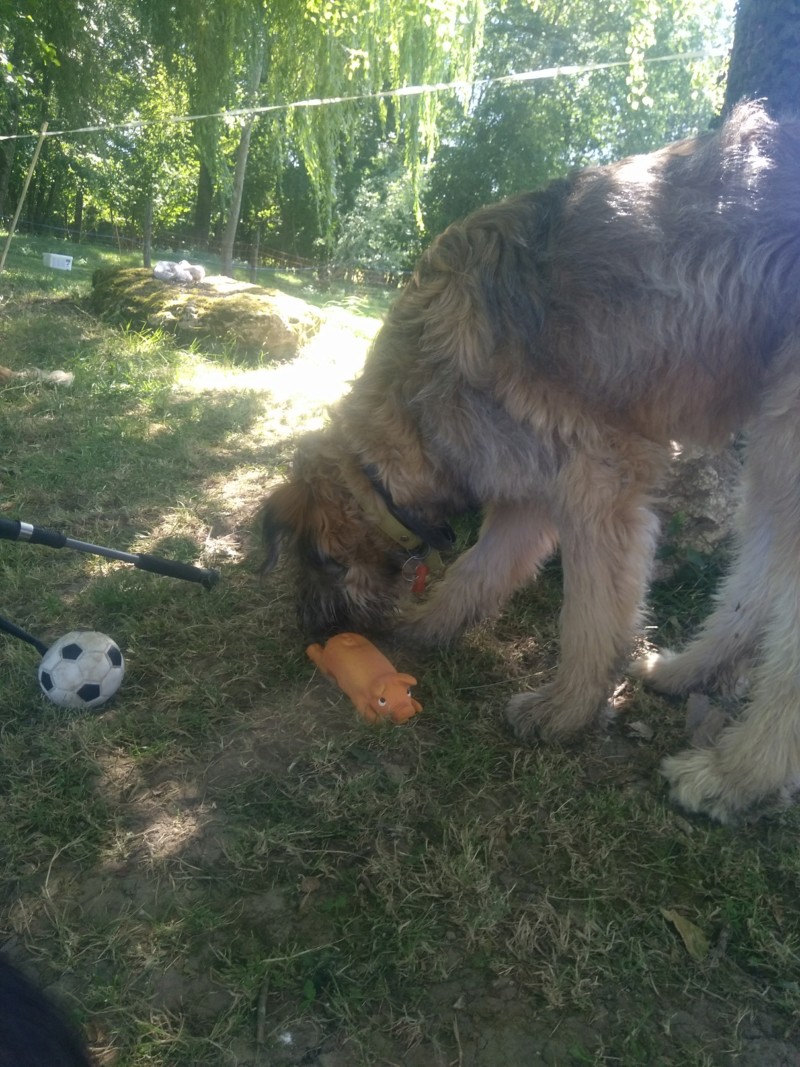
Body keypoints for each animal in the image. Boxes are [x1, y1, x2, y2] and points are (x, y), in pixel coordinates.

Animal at [264, 104, 800, 819]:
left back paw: (737, 774)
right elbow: (476, 570)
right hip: (770, 445)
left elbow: (590, 617)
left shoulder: (599, 480)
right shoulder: (530, 495)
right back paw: (689, 671)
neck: (416, 408)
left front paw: (567, 710)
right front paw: (426, 625)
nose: (312, 633)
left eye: (321, 558)